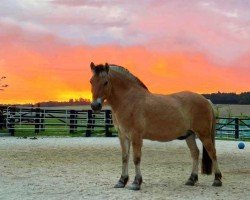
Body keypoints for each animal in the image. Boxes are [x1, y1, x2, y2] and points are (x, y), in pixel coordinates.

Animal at [89, 62, 222, 191]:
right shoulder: (123, 136)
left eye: (106, 82)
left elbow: (136, 158)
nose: (95, 106)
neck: (129, 100)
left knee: (212, 152)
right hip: (190, 135)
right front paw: (121, 181)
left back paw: (217, 180)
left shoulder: (136, 136)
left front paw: (136, 183)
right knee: (195, 153)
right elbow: (125, 157)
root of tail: (206, 100)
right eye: (91, 81)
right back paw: (191, 180)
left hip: (203, 134)